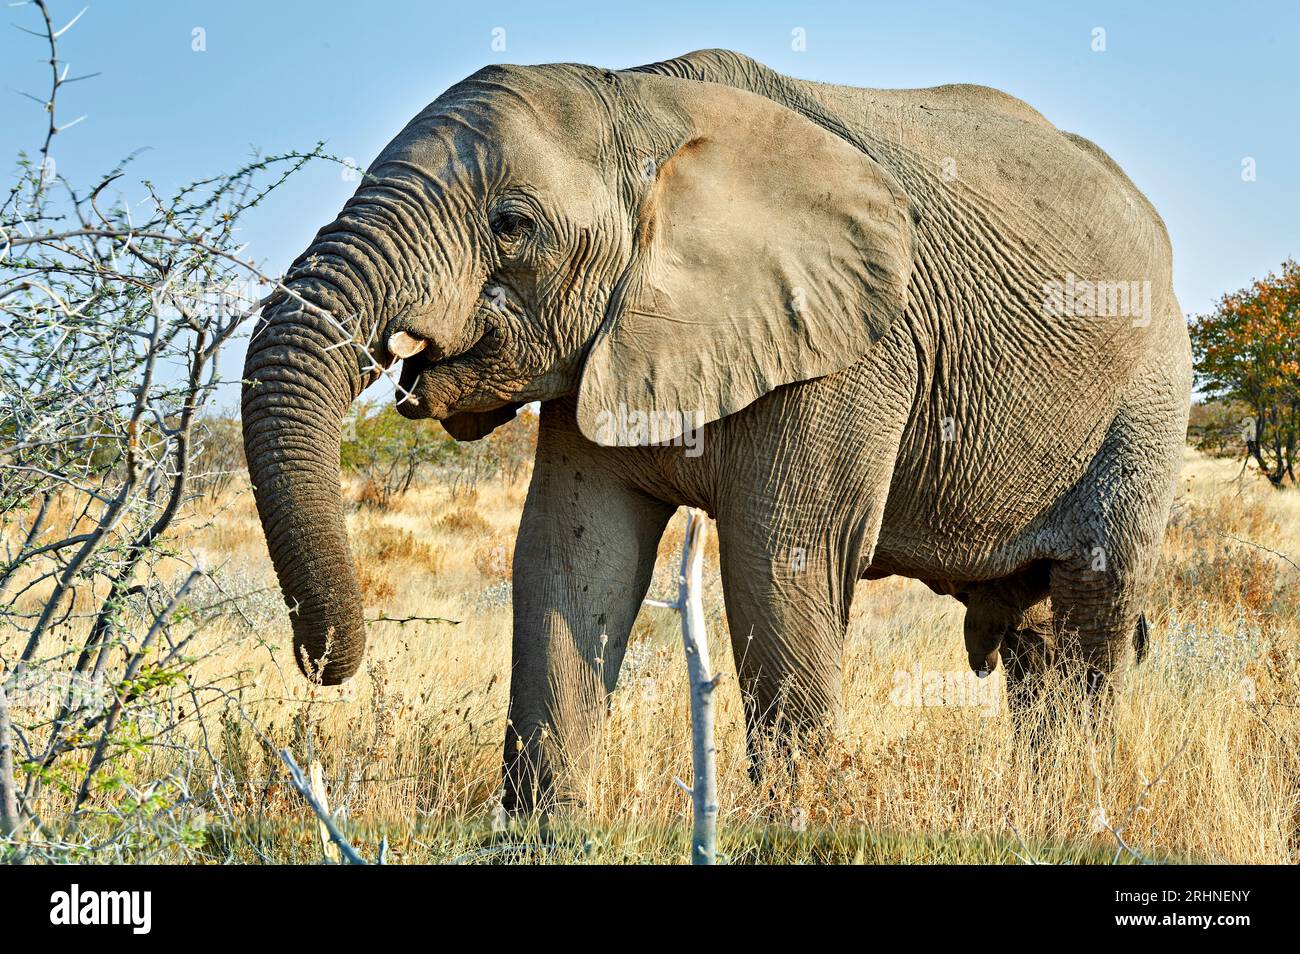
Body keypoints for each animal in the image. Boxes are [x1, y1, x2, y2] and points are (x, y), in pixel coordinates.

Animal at [242, 49, 1192, 811]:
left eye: (513, 224)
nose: (323, 667)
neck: (641, 99)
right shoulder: (606, 344)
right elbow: (569, 555)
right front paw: (544, 834)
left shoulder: (850, 346)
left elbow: (784, 561)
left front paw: (797, 830)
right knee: (1036, 634)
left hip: (1150, 395)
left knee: (1093, 610)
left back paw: (1079, 810)